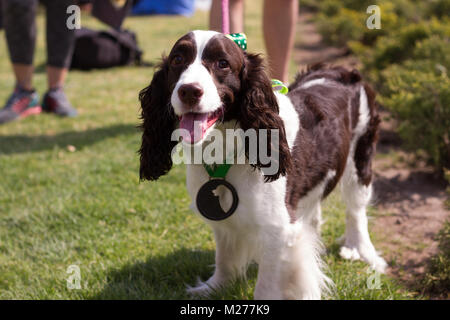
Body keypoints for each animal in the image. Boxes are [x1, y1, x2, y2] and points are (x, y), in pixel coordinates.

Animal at [140, 30, 386, 300]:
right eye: (177, 59)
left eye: (222, 63)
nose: (189, 91)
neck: (228, 147)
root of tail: (341, 69)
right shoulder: (226, 219)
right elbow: (224, 256)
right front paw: (214, 288)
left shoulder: (277, 229)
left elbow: (267, 285)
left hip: (360, 159)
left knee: (356, 211)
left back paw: (362, 252)